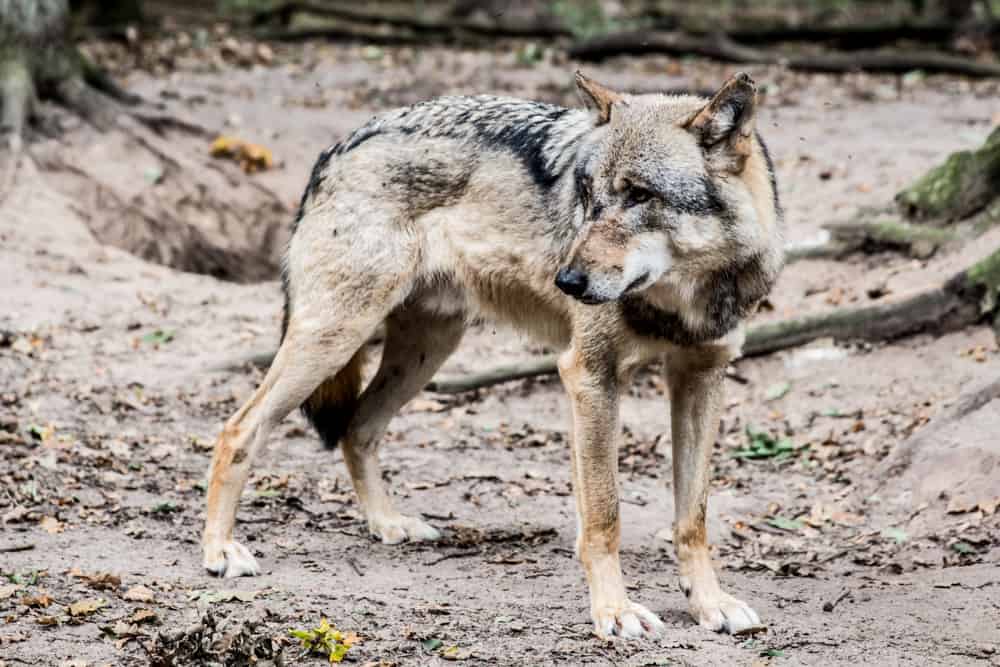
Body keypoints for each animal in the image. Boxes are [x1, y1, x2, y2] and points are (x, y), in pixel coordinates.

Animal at [201, 70, 780, 640]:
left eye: (639, 195)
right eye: (586, 195)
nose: (566, 281)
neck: (683, 300)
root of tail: (338, 147)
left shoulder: (702, 378)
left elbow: (692, 518)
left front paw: (710, 604)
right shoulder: (589, 375)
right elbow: (604, 517)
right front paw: (615, 612)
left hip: (426, 351)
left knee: (356, 428)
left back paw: (387, 523)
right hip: (337, 337)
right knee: (237, 429)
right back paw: (219, 550)